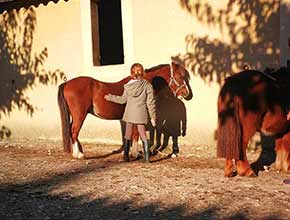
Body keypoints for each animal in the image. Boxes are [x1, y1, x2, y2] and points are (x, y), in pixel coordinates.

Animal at [57, 62, 191, 159]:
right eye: (180, 76)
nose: (186, 93)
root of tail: (66, 83)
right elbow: (136, 134)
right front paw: (135, 153)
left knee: (71, 130)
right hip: (80, 115)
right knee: (74, 131)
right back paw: (79, 154)